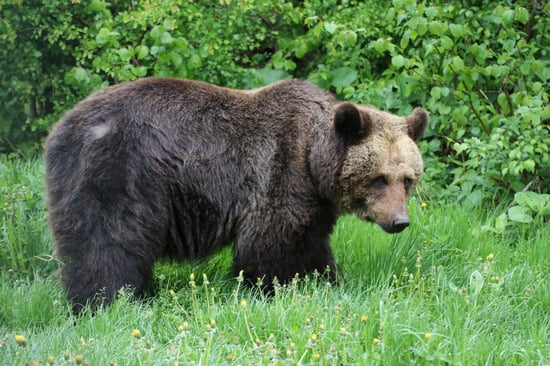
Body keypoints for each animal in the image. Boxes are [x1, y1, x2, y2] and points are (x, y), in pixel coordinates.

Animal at [44, 78, 432, 312]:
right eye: (379, 178)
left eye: (407, 179)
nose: (399, 221)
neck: (313, 159)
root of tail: (61, 127)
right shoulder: (279, 173)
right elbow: (270, 246)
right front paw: (278, 288)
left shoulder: (314, 203)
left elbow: (311, 242)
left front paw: (331, 280)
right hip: (118, 174)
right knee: (107, 242)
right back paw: (104, 302)